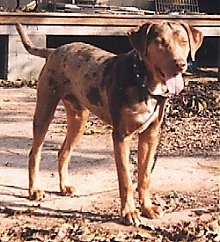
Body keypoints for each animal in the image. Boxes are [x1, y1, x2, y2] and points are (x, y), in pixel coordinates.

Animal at [15, 20, 203, 225]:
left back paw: (64, 186)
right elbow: (126, 180)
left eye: (184, 41)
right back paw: (34, 190)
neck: (143, 83)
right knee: (35, 152)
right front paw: (129, 213)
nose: (180, 64)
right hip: (45, 109)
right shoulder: (121, 136)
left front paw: (147, 208)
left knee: (63, 152)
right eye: (160, 42)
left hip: (79, 118)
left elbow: (144, 176)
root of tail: (53, 51)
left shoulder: (150, 135)